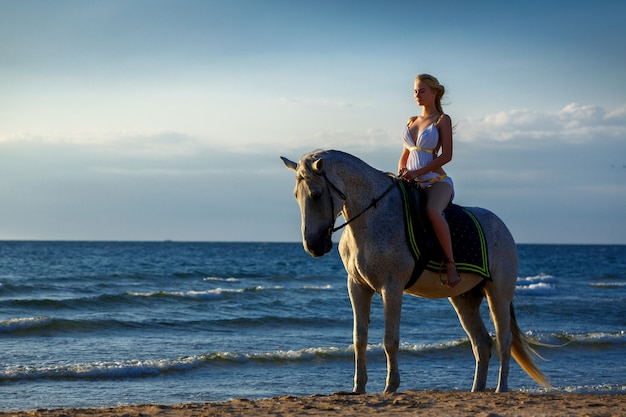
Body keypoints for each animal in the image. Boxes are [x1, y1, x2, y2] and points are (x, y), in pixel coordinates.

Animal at [280, 150, 548, 394]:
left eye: (316, 195)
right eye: (295, 196)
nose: (313, 245)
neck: (373, 216)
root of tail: (502, 227)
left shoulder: (391, 287)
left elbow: (390, 340)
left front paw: (391, 386)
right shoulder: (357, 287)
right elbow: (359, 339)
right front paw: (358, 388)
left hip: (497, 295)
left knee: (503, 341)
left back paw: (500, 389)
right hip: (464, 299)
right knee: (481, 343)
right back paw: (477, 390)